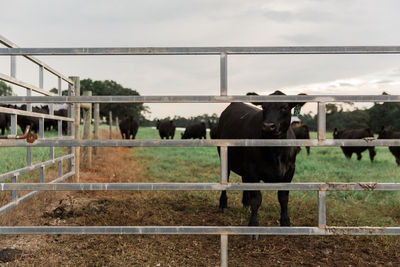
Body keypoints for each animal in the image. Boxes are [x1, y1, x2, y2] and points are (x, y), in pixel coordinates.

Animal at [216, 90, 306, 232]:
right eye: (264, 106)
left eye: (285, 107)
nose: (268, 126)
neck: (275, 152)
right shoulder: (253, 170)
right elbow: (256, 199)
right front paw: (253, 224)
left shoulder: (290, 170)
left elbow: (283, 197)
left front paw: (285, 221)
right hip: (225, 158)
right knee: (225, 179)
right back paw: (223, 204)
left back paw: (245, 204)